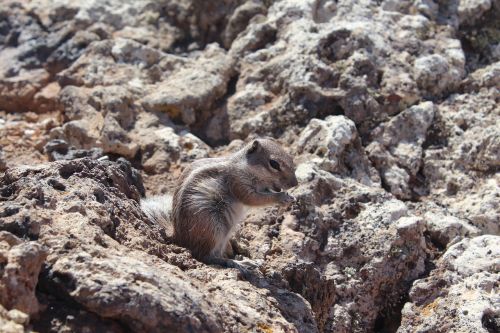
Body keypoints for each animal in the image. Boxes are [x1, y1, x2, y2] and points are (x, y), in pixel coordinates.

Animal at [141, 137, 296, 270]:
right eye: (274, 164)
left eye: (291, 159)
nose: (295, 183)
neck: (244, 166)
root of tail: (179, 239)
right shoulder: (238, 182)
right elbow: (253, 199)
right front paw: (281, 197)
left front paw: (291, 197)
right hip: (214, 229)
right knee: (206, 257)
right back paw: (239, 263)